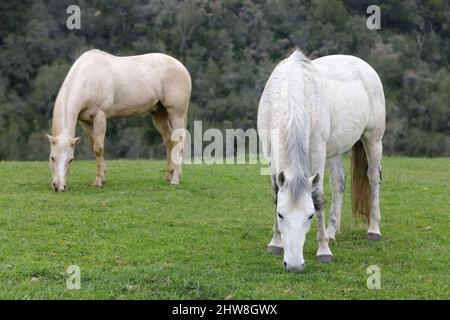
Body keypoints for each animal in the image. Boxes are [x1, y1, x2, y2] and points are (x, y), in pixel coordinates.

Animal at [46, 48, 191, 191]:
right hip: (159, 113)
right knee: (169, 141)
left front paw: (98, 181)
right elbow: (93, 145)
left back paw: (175, 179)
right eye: (52, 157)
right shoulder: (85, 121)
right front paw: (103, 177)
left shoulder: (100, 117)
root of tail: (181, 67)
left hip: (176, 112)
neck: (89, 78)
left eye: (71, 159)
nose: (59, 186)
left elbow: (98, 148)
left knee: (179, 142)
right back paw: (169, 175)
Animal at [258, 50, 384, 272]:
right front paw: (275, 242)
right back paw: (332, 231)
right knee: (338, 182)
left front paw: (324, 250)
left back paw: (373, 230)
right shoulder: (270, 153)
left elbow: (317, 198)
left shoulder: (317, 152)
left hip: (373, 139)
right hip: (333, 151)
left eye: (309, 216)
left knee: (373, 178)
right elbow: (275, 193)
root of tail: (365, 66)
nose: (293, 265)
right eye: (281, 215)